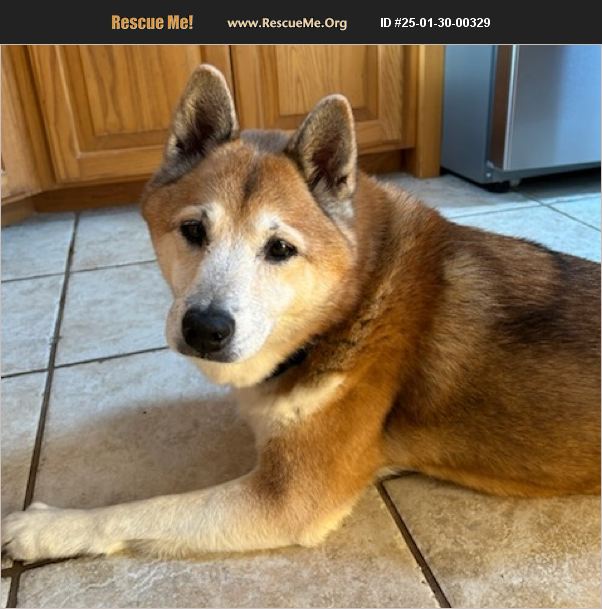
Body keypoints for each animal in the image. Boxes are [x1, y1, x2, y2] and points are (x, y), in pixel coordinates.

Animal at [3, 64, 600, 562]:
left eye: (281, 249)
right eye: (194, 230)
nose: (205, 329)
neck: (355, 300)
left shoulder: (287, 498)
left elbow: (145, 508)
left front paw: (46, 527)